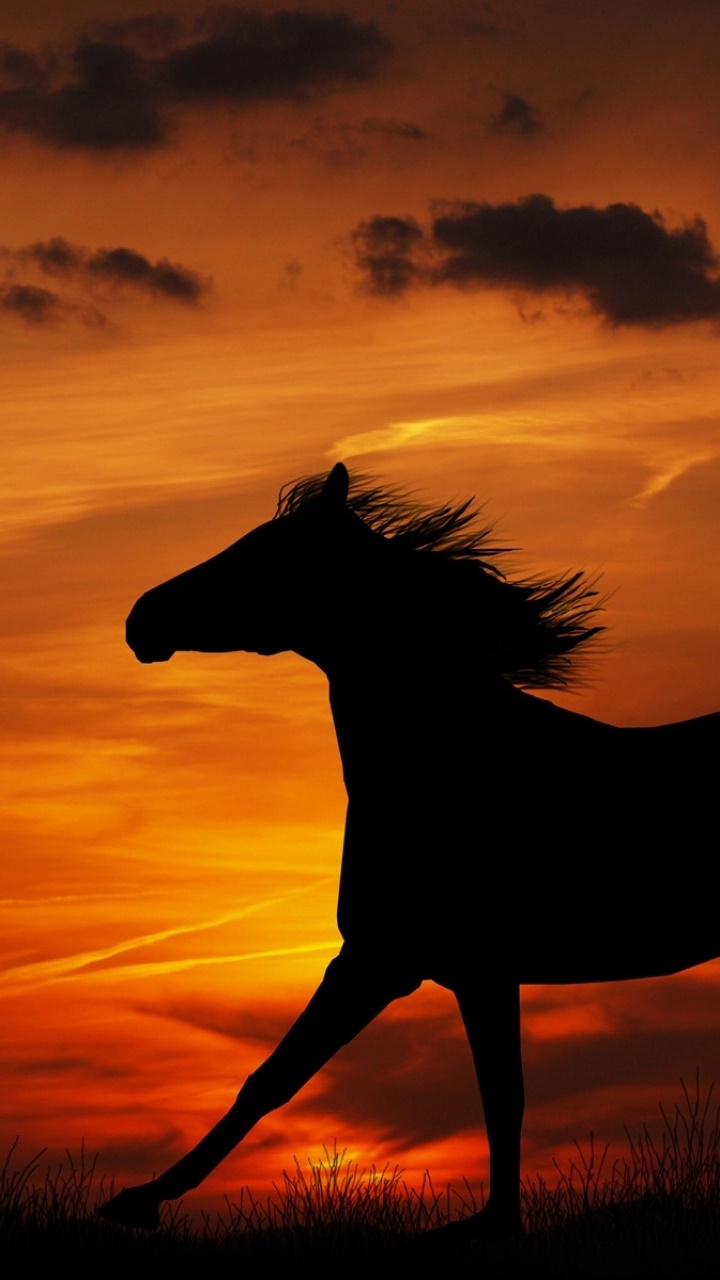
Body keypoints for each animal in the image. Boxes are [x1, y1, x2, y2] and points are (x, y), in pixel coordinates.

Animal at [99, 462, 720, 1240]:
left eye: (263, 554)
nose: (141, 619)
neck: (448, 762)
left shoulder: (390, 961)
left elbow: (278, 1078)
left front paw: (138, 1201)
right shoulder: (450, 970)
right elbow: (493, 1093)